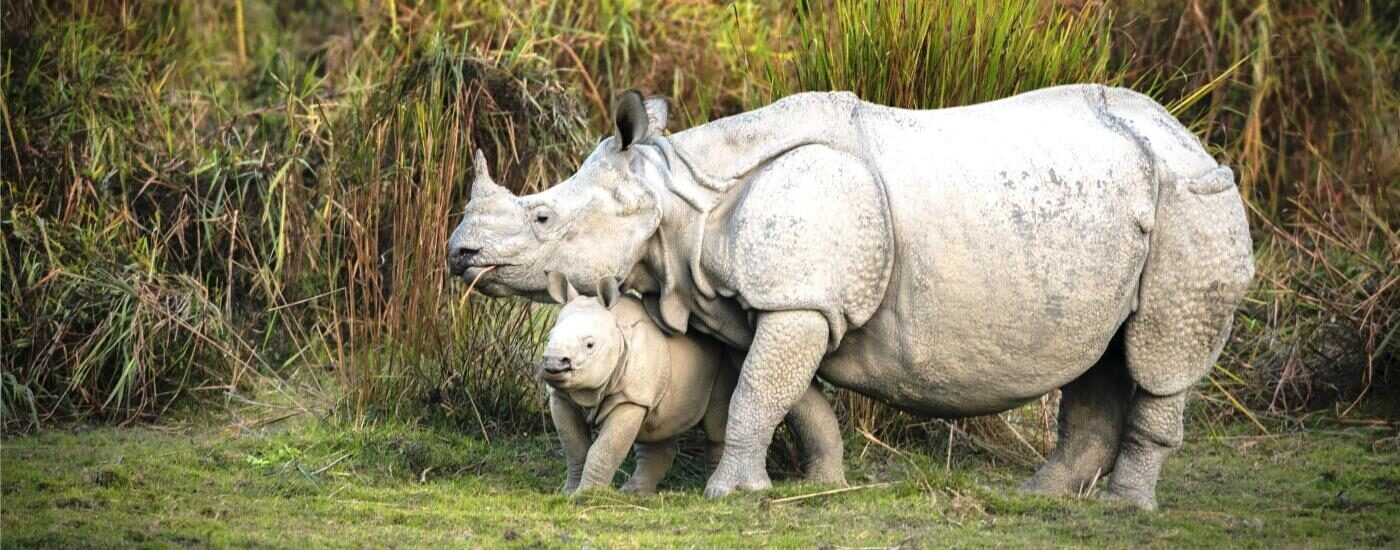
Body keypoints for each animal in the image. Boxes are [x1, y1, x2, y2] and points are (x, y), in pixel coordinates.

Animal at [534, 271, 733, 495]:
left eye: (590, 345)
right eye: (549, 338)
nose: (553, 363)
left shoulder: (630, 398)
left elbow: (604, 449)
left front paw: (586, 495)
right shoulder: (562, 396)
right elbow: (575, 447)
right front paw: (568, 492)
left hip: (723, 359)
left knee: (716, 425)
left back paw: (713, 489)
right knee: (656, 427)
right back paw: (634, 493)